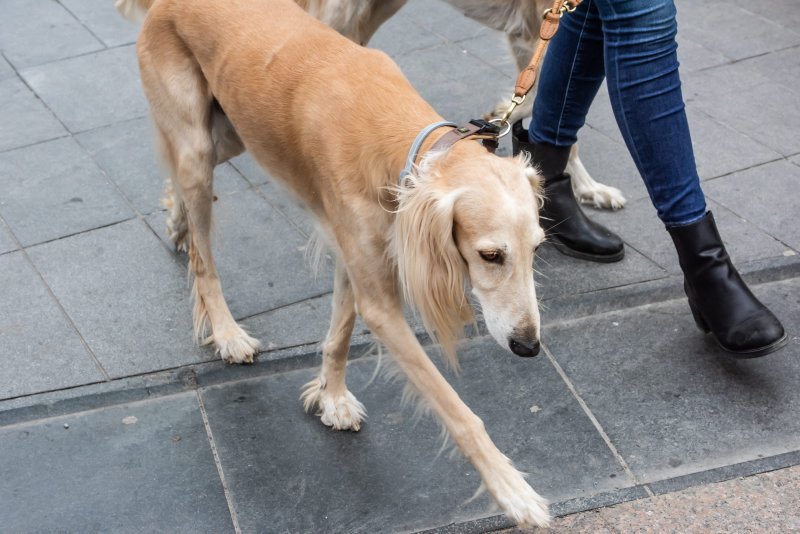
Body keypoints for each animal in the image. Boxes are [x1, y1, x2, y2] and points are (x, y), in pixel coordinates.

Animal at [119, 0, 552, 528]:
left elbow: (339, 336)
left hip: (231, 131)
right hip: (200, 148)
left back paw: (177, 220)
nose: (528, 347)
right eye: (490, 255)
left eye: (537, 249)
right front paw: (512, 490)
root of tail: (162, 5)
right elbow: (458, 410)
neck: (396, 141)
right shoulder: (379, 301)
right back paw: (225, 331)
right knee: (204, 259)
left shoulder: (355, 257)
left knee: (181, 179)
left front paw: (331, 398)